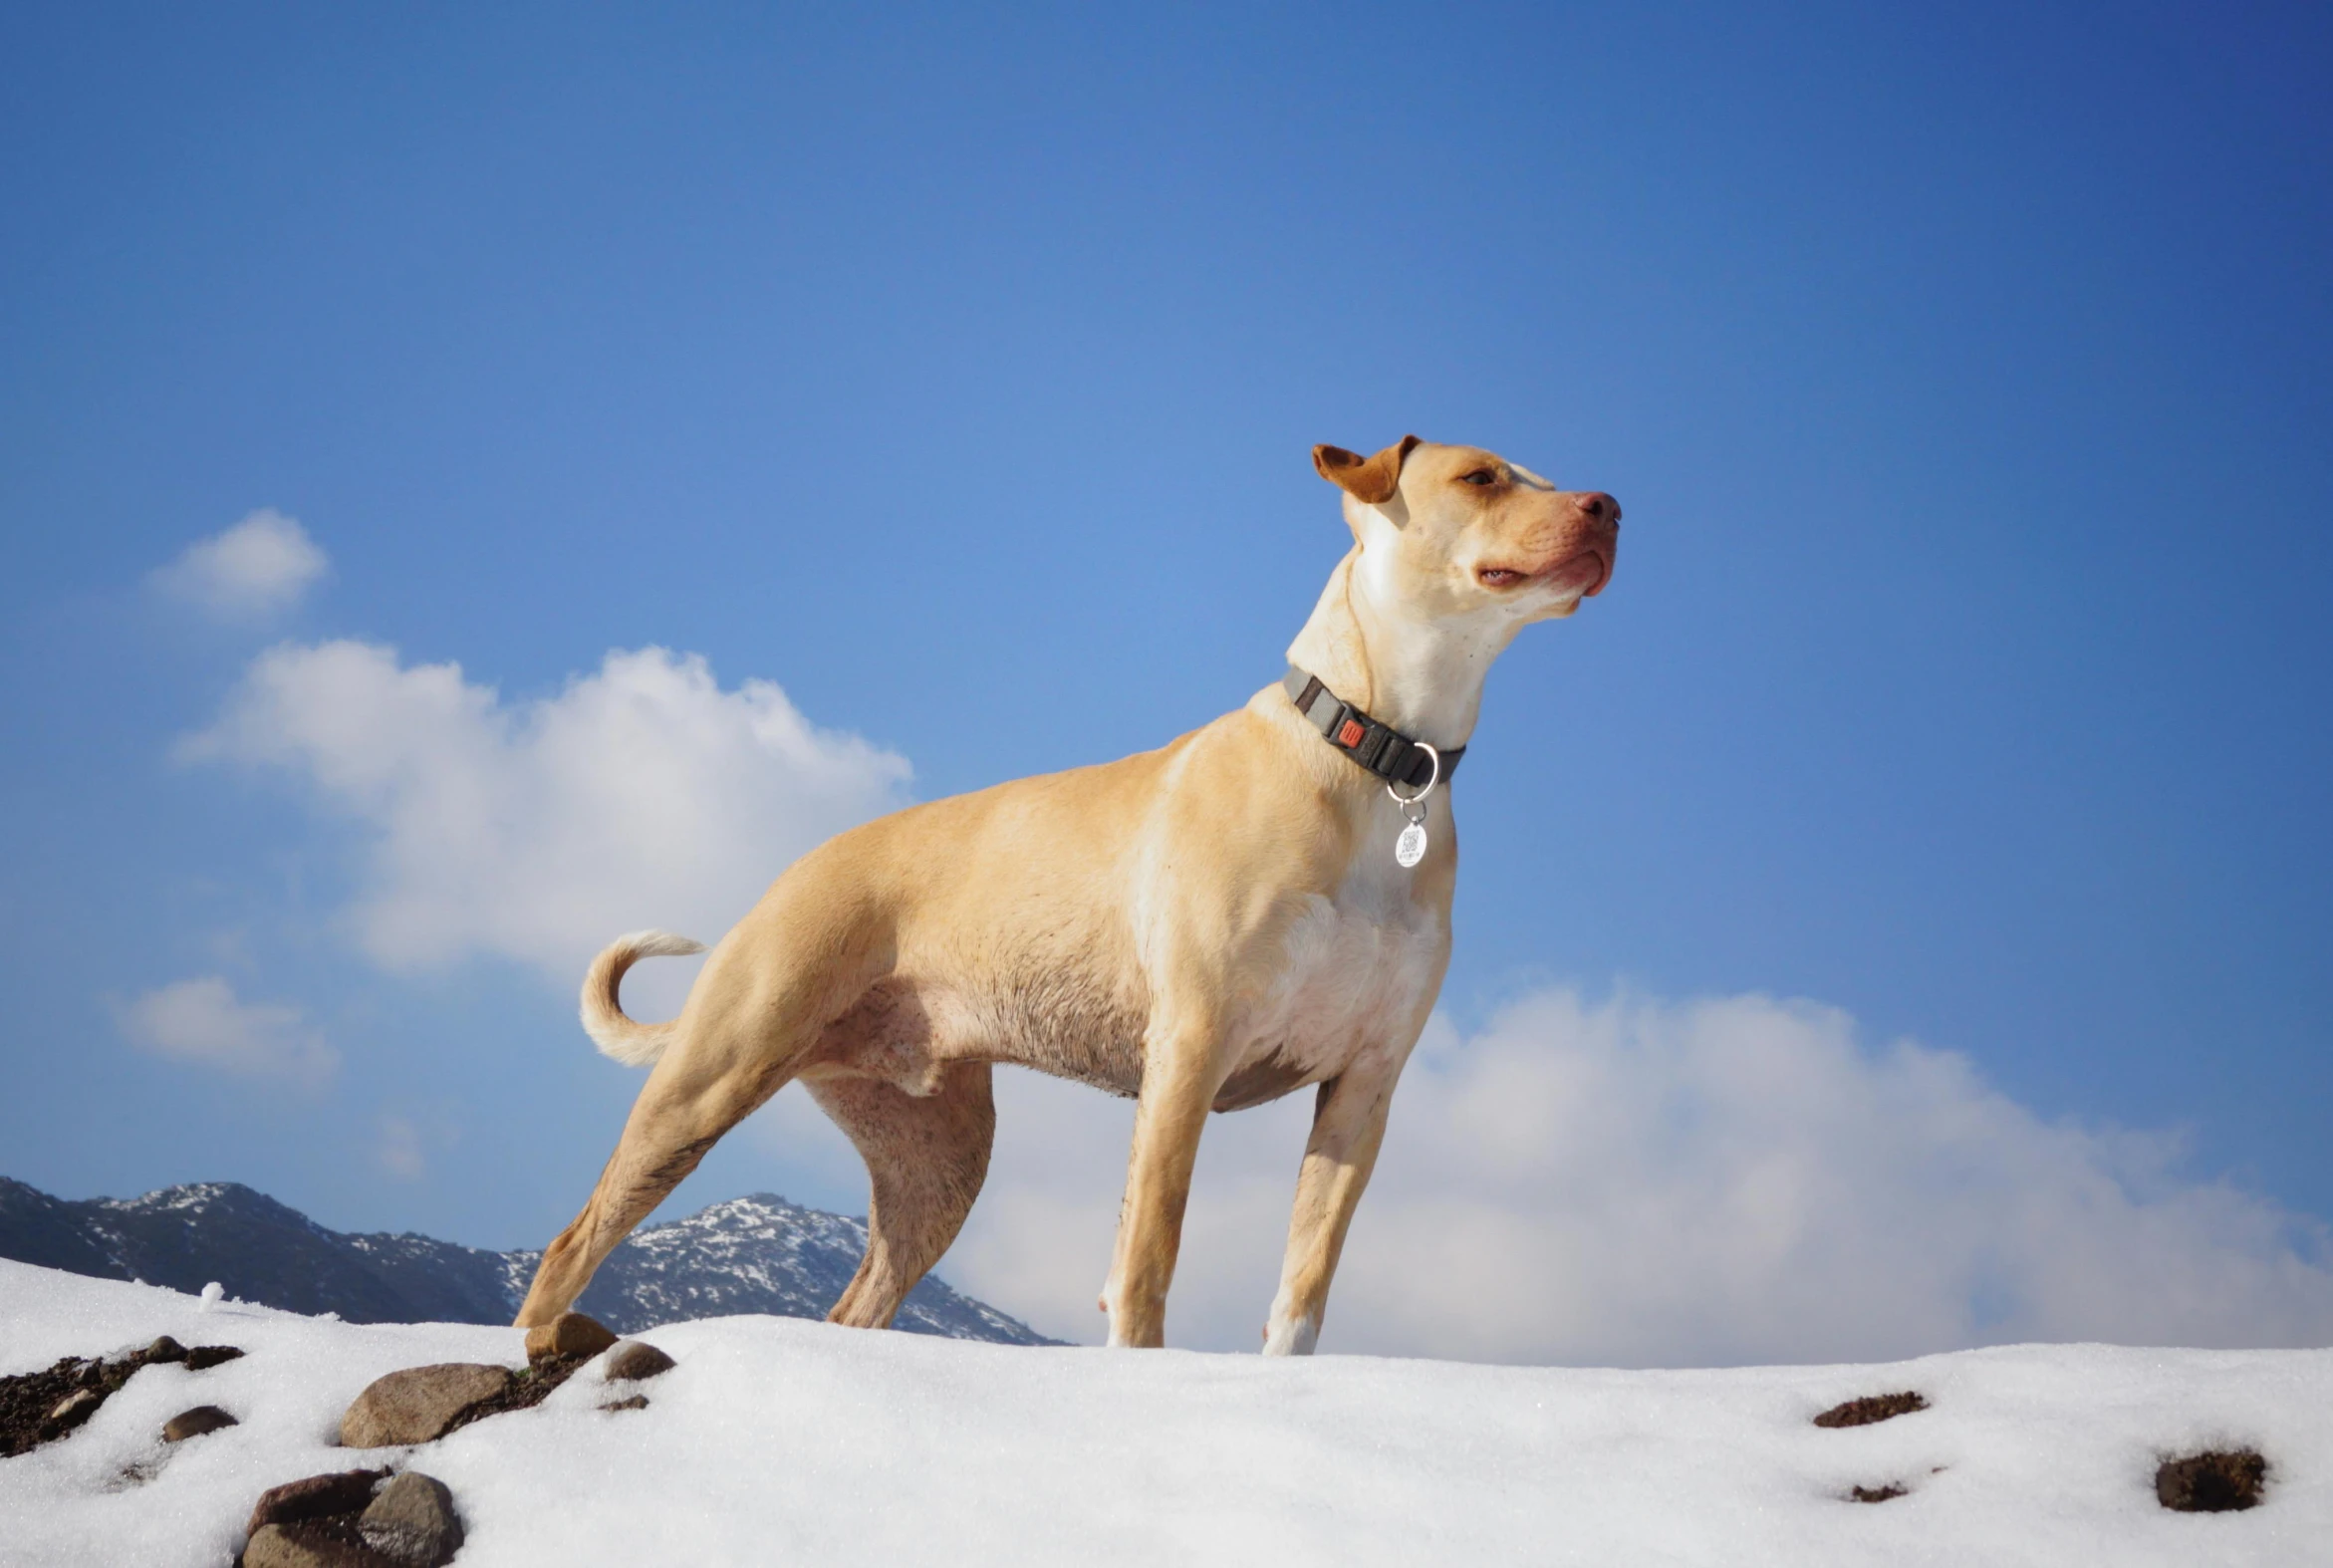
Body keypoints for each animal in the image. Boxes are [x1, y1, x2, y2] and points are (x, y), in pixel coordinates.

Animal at [513, 433, 1614, 1353]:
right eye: (1481, 476)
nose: (1607, 504)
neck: (1380, 760)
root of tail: (793, 868)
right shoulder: (1191, 1047)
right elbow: (1147, 1260)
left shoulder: (1364, 1088)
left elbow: (1302, 1287)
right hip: (714, 1075)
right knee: (574, 1241)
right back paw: (539, 1344)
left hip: (937, 1159)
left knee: (857, 1302)